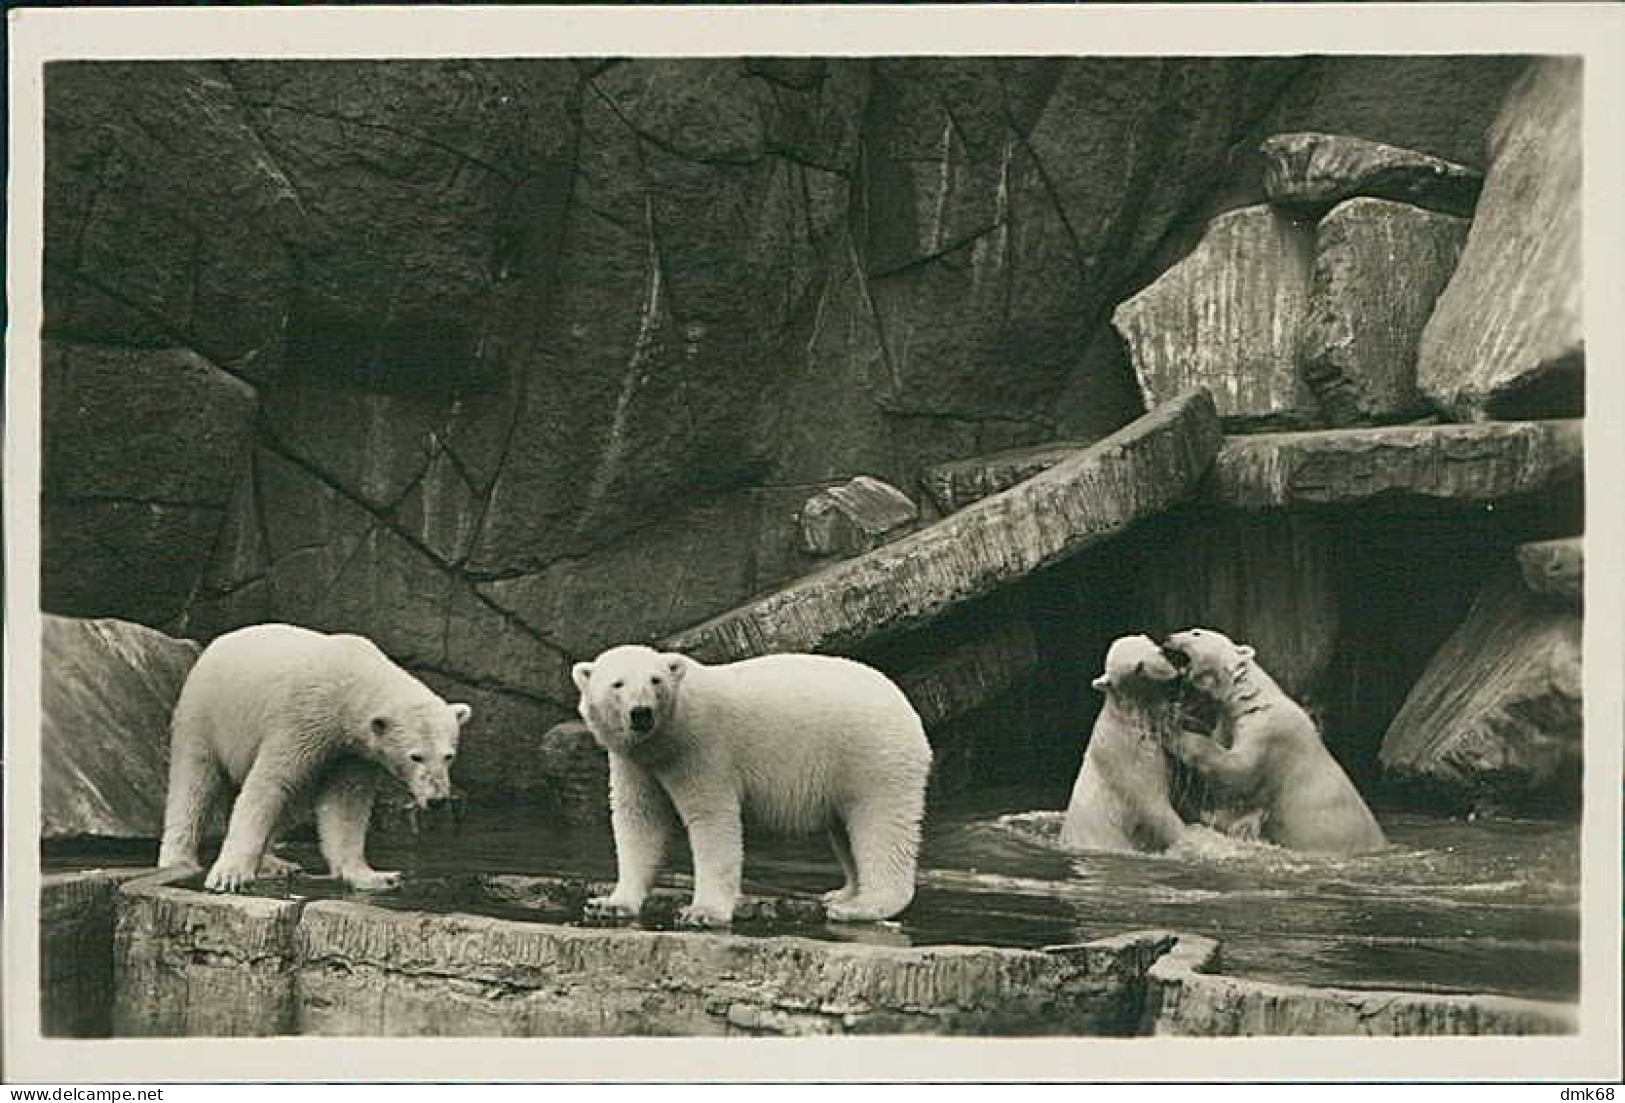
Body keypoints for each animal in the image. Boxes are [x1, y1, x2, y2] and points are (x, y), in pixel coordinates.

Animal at [156, 627, 471, 890]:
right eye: (416, 756)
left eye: (448, 756)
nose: (437, 799)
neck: (349, 682)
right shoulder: (300, 719)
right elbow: (270, 783)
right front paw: (229, 875)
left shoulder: (353, 752)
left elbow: (346, 805)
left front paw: (376, 876)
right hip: (206, 713)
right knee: (195, 780)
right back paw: (179, 860)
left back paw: (276, 863)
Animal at [575, 643, 936, 929]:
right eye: (617, 683)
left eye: (655, 680)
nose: (641, 713)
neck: (666, 738)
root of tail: (907, 708)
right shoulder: (636, 764)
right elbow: (640, 821)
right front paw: (611, 904)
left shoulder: (703, 752)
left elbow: (713, 822)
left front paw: (702, 912)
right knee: (845, 829)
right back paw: (841, 894)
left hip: (873, 757)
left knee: (880, 826)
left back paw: (861, 907)